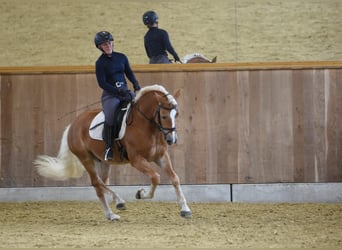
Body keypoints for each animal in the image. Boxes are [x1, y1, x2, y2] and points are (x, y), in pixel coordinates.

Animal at [34, 84, 192, 221]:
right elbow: (155, 177)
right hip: (85, 158)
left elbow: (175, 178)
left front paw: (185, 209)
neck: (147, 126)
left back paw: (115, 206)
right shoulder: (136, 160)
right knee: (97, 183)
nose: (172, 139)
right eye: (164, 116)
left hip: (103, 161)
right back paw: (114, 210)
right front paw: (140, 194)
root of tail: (73, 124)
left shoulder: (161, 157)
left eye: (177, 114)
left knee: (102, 183)